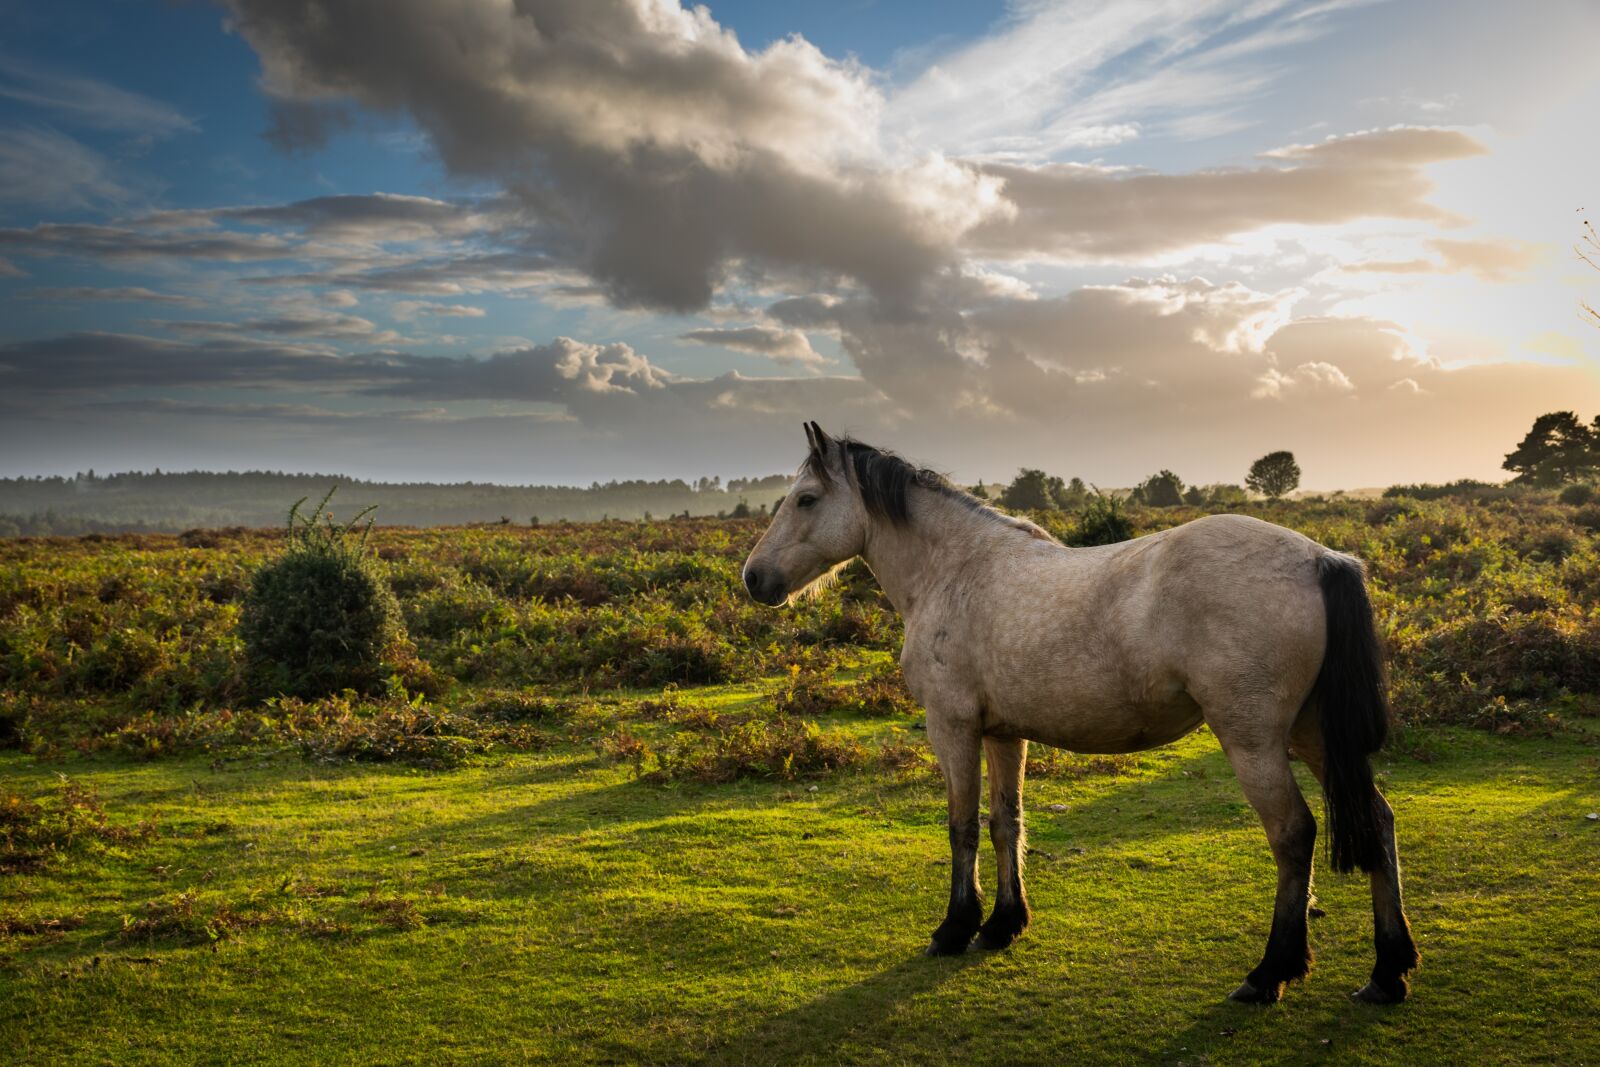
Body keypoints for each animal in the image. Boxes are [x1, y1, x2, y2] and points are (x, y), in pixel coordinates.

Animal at [741, 423, 1419, 1004]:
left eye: (805, 500)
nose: (754, 578)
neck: (955, 570)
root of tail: (1321, 558)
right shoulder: (1001, 733)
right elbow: (1005, 822)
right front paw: (1003, 925)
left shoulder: (951, 727)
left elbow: (961, 827)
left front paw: (954, 929)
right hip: (1313, 735)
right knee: (1378, 821)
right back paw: (1388, 971)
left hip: (1253, 740)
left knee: (1293, 834)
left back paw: (1270, 973)